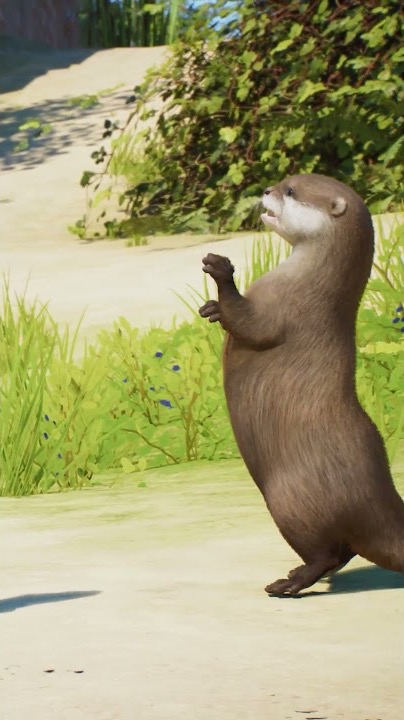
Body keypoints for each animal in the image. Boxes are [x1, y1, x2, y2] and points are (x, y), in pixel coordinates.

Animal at [198, 173, 404, 596]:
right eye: (282, 182)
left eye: (290, 191)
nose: (265, 191)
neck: (306, 283)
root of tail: (381, 505)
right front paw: (210, 309)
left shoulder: (288, 313)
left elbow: (248, 323)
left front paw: (222, 272)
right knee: (343, 551)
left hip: (290, 502)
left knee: (326, 550)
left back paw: (288, 583)